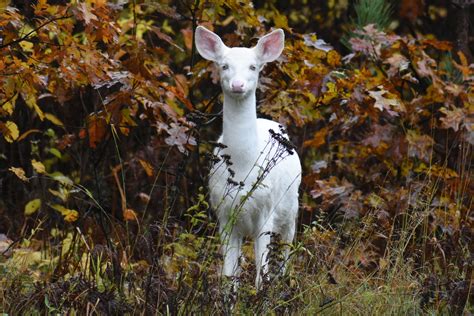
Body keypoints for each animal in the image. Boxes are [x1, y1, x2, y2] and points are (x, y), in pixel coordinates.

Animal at [195, 25, 300, 288]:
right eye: (224, 65)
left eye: (253, 66)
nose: (237, 84)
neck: (243, 167)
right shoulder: (223, 213)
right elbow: (229, 274)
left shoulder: (266, 210)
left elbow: (262, 272)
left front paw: (262, 295)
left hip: (291, 206)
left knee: (286, 249)